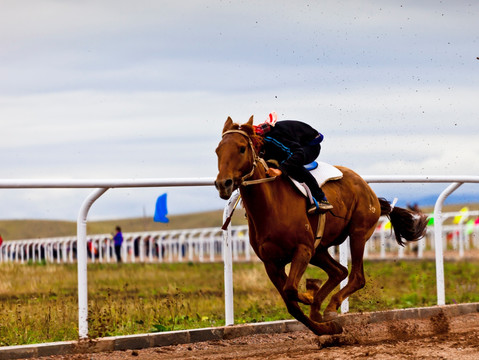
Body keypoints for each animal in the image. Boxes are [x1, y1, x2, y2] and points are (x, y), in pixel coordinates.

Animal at [216, 116, 430, 336]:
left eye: (242, 148)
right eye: (217, 150)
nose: (223, 184)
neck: (271, 206)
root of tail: (368, 189)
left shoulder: (302, 249)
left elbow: (291, 290)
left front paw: (311, 295)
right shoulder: (271, 262)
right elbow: (291, 304)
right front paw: (323, 326)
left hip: (357, 233)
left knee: (356, 277)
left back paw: (329, 307)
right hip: (319, 250)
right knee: (339, 272)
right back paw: (320, 309)